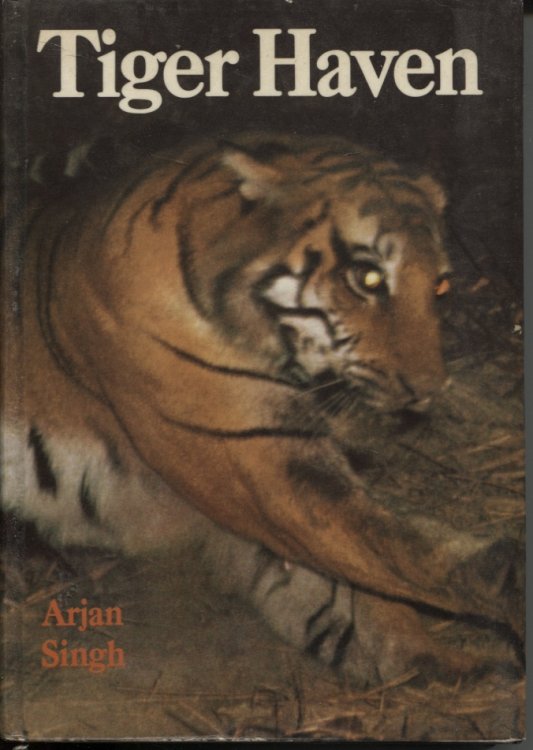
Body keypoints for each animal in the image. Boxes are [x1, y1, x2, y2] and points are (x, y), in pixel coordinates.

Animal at [2, 131, 522, 686]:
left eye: (440, 287)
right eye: (368, 278)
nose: (429, 389)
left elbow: (359, 599)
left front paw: (453, 666)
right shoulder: (258, 465)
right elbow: (410, 549)